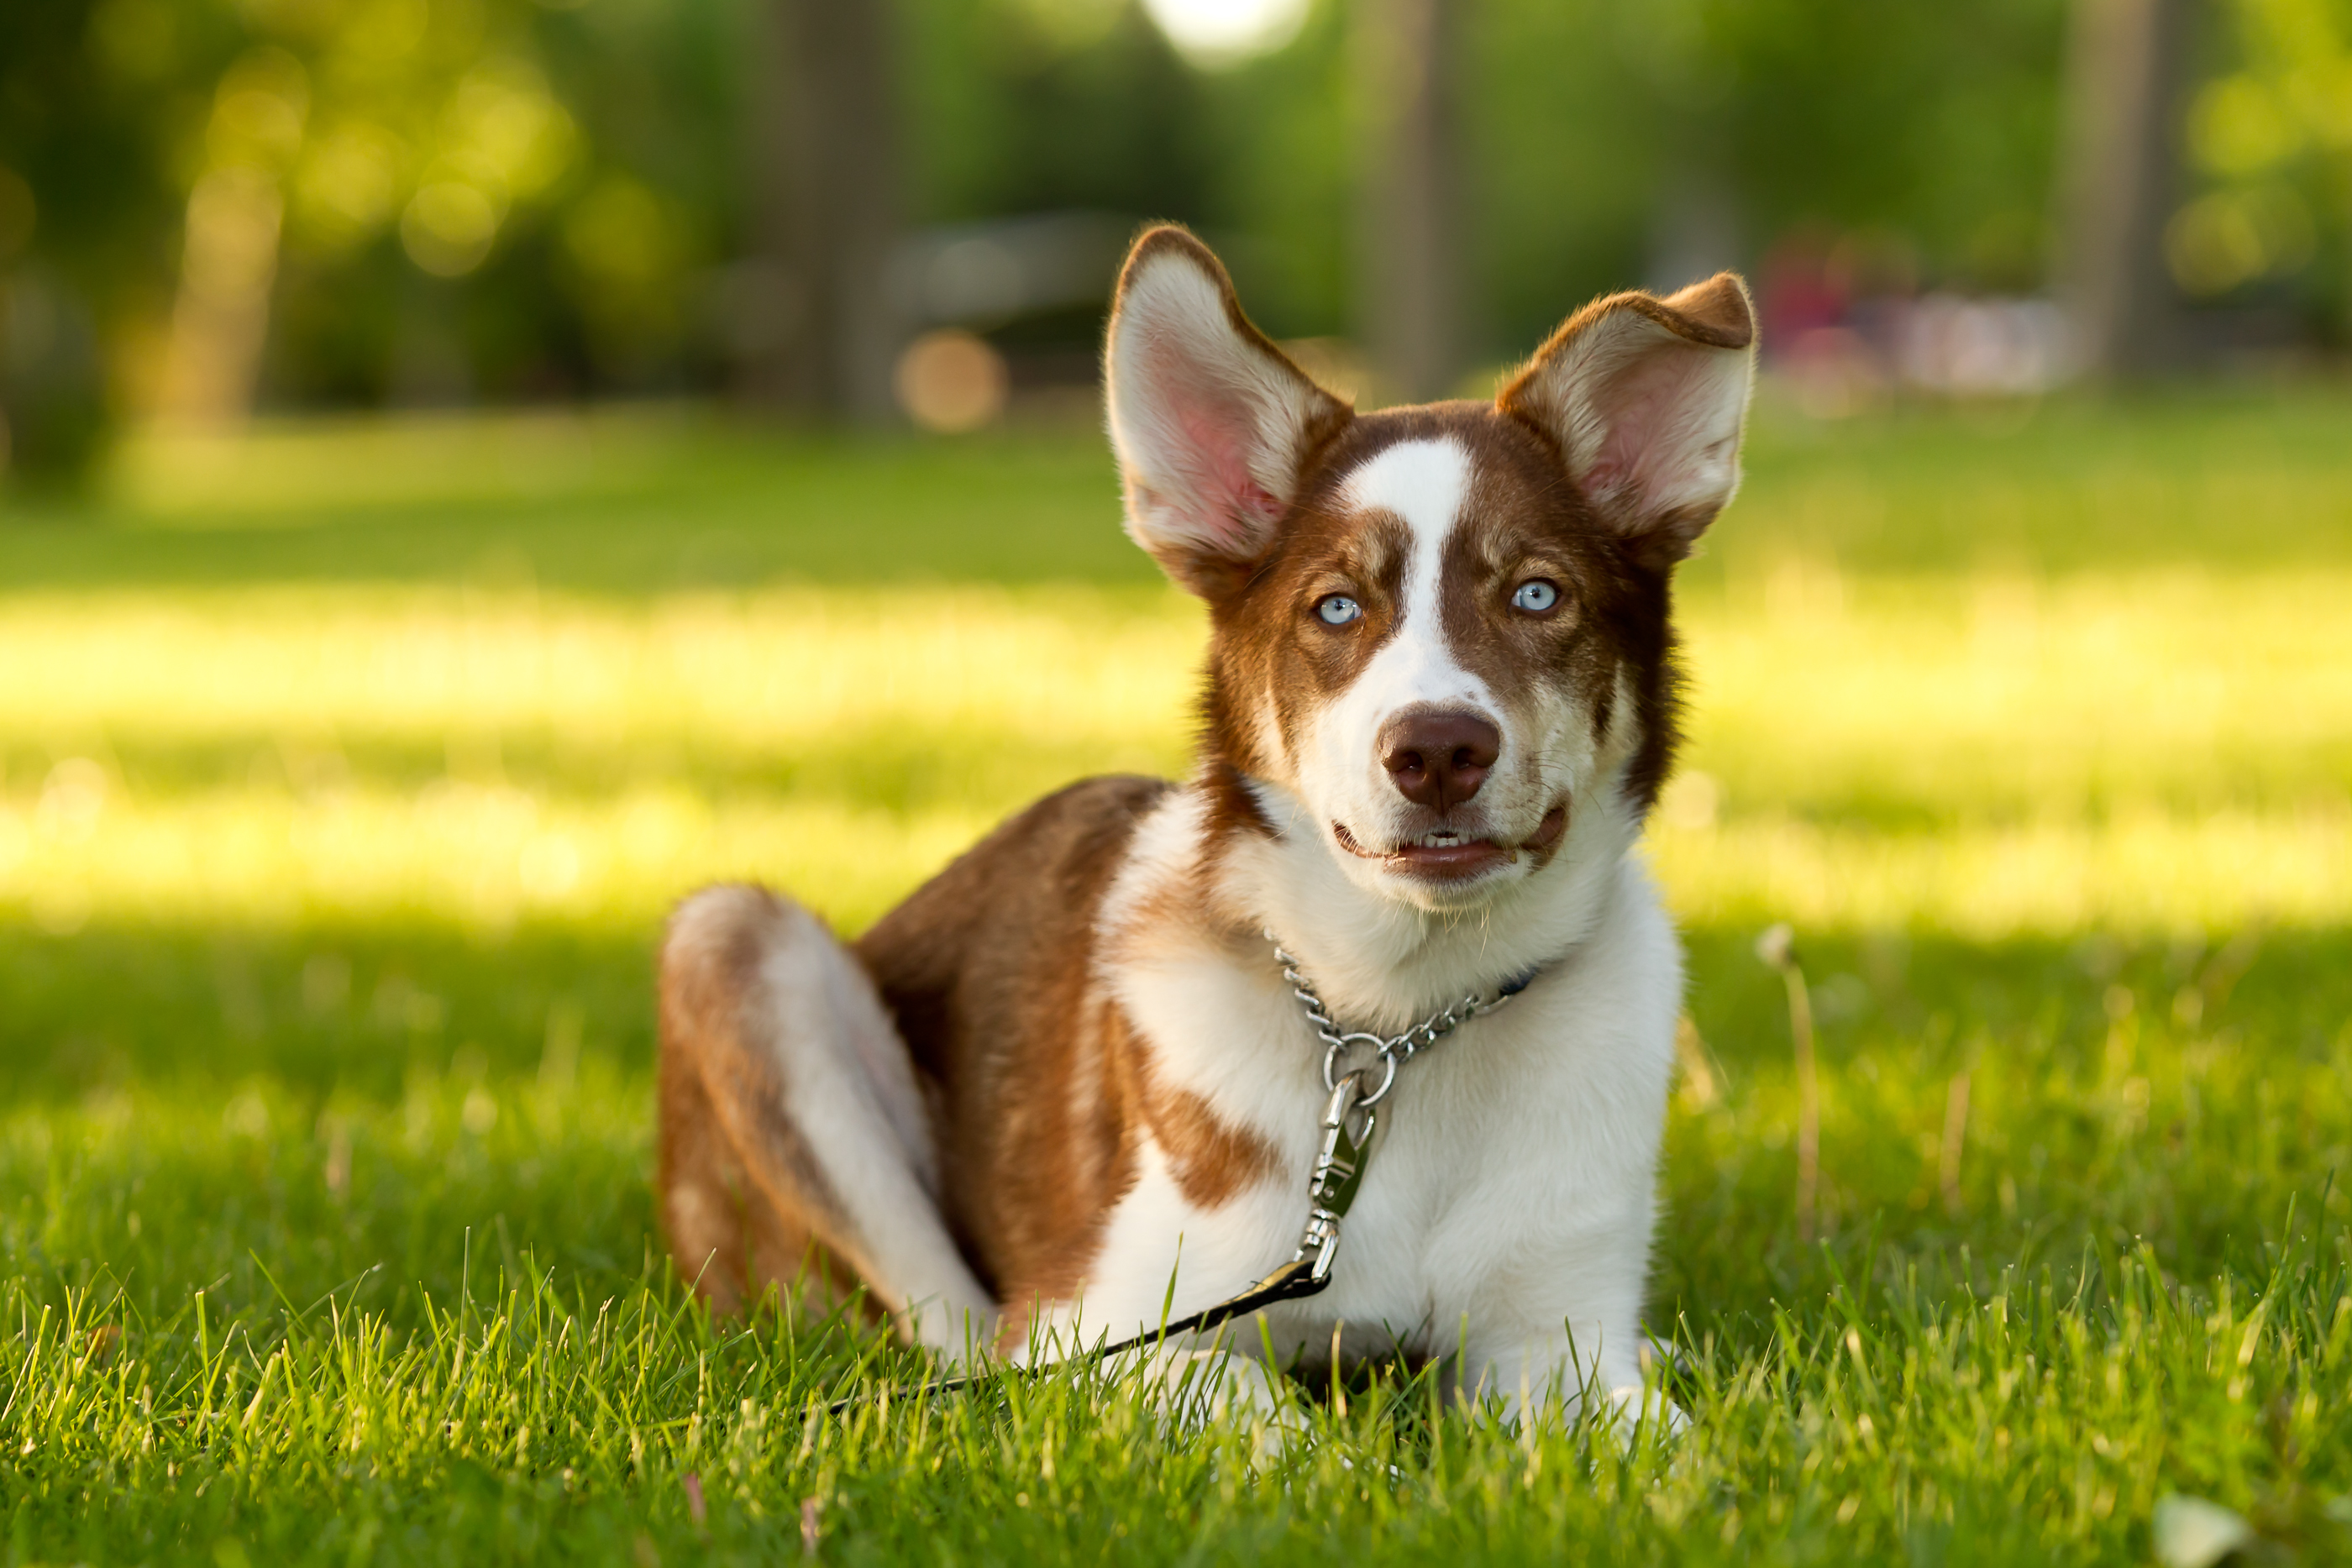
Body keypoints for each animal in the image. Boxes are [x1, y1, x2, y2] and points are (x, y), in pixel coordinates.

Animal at [654, 227, 1759, 1429]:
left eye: (1538, 596)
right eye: (1335, 608)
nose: (1436, 751)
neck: (1396, 1019)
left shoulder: (1564, 1342)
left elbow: (1652, 1432)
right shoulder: (1099, 1326)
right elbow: (1280, 1424)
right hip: (735, 941)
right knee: (946, 1336)